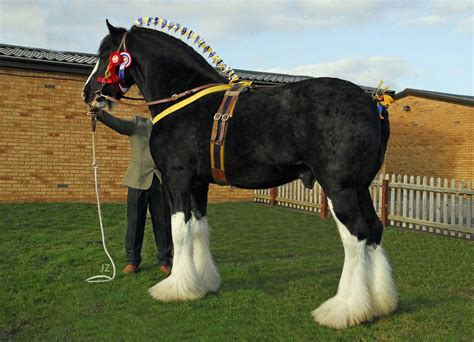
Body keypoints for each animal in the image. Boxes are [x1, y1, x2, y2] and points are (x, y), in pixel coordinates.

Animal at [81, 20, 396, 330]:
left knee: (356, 236)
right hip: (360, 187)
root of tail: (373, 103)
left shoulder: (177, 179)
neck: (185, 102)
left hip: (339, 188)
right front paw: (202, 282)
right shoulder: (198, 185)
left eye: (105, 54)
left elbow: (179, 231)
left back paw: (344, 309)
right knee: (374, 230)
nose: (87, 94)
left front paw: (175, 288)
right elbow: (199, 229)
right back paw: (379, 304)